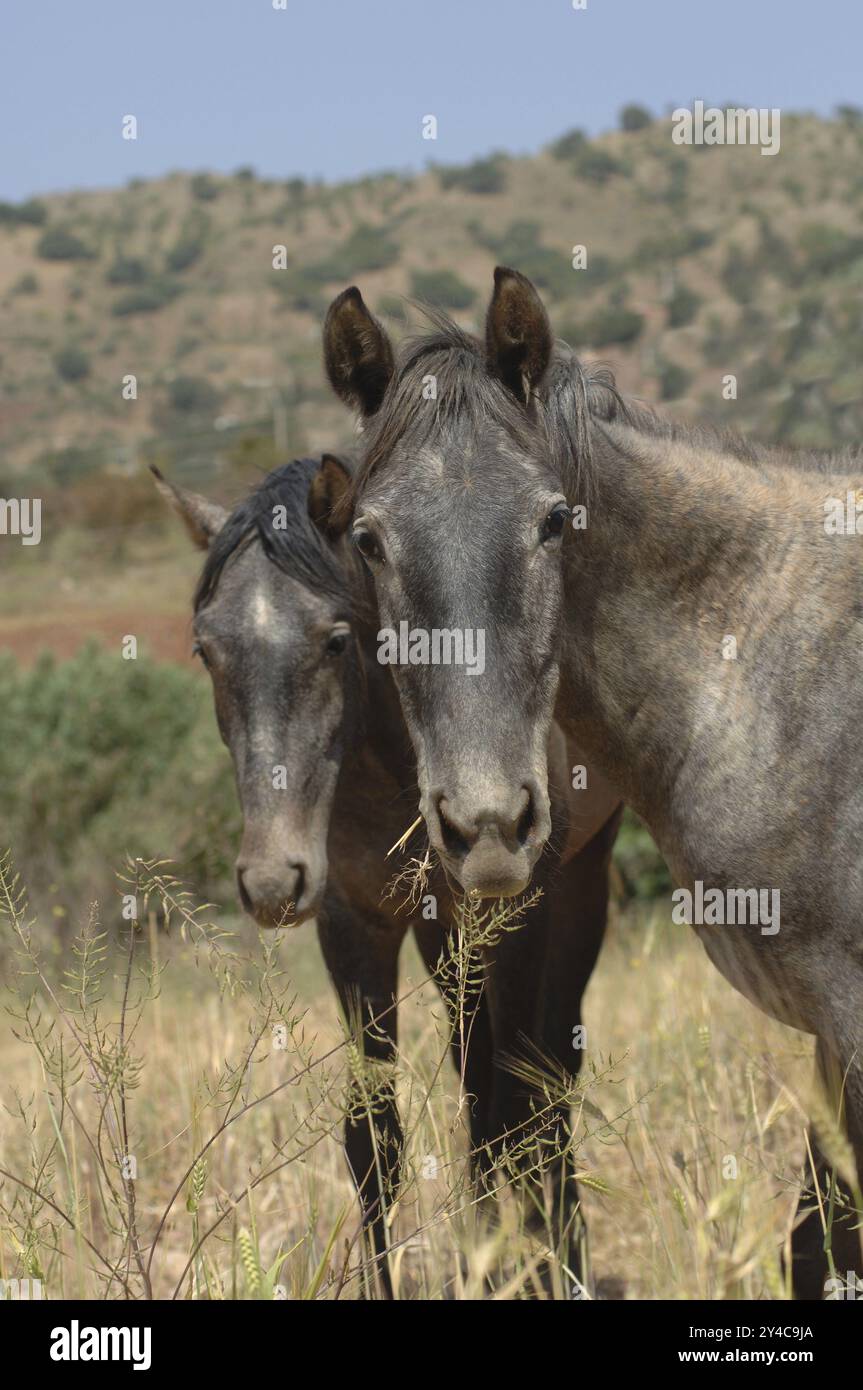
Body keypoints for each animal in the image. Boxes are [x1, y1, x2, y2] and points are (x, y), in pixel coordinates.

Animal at [153, 454, 619, 1297]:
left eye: (336, 640)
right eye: (205, 649)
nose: (270, 883)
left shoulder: (519, 914)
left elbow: (519, 1106)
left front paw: (533, 1262)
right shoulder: (355, 925)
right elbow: (375, 1140)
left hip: (576, 891)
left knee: (547, 1085)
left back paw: (556, 1254)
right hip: (444, 938)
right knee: (477, 1081)